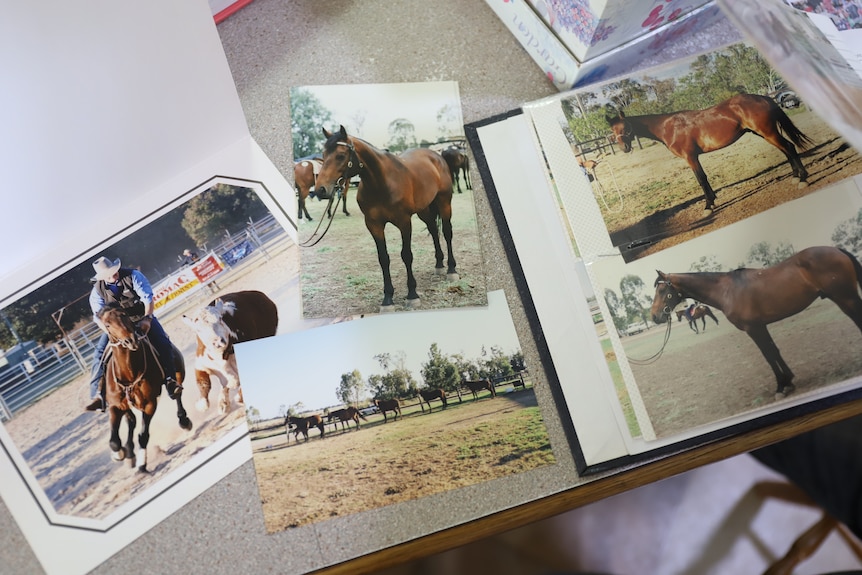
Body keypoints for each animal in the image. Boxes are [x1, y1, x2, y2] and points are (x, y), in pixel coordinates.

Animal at [98, 306, 192, 472]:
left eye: (125, 315)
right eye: (107, 324)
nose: (130, 340)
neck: (129, 374)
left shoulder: (149, 404)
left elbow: (143, 436)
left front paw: (142, 465)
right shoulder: (116, 406)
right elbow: (114, 441)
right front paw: (119, 454)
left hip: (179, 373)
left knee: (177, 395)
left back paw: (184, 420)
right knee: (131, 421)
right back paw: (129, 454)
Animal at [312, 126, 460, 310]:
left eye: (340, 155)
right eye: (323, 155)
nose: (320, 190)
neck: (382, 183)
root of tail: (436, 156)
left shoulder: (404, 222)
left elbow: (406, 255)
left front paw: (412, 294)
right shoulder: (374, 224)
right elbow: (383, 258)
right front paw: (388, 298)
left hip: (444, 202)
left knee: (447, 232)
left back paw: (451, 270)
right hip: (424, 210)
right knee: (433, 230)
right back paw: (439, 265)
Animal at [612, 94, 812, 212]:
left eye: (625, 127)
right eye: (612, 131)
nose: (624, 148)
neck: (667, 127)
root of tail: (762, 97)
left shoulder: (690, 157)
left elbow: (701, 179)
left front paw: (708, 205)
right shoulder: (693, 157)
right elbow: (704, 178)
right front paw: (713, 201)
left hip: (768, 132)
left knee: (789, 148)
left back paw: (802, 178)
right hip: (765, 133)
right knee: (786, 150)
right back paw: (795, 176)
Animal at [652, 245, 862, 398]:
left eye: (662, 290)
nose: (654, 316)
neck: (726, 291)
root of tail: (835, 249)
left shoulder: (753, 328)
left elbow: (768, 354)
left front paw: (781, 386)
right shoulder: (761, 326)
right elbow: (774, 351)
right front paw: (788, 381)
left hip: (845, 297)